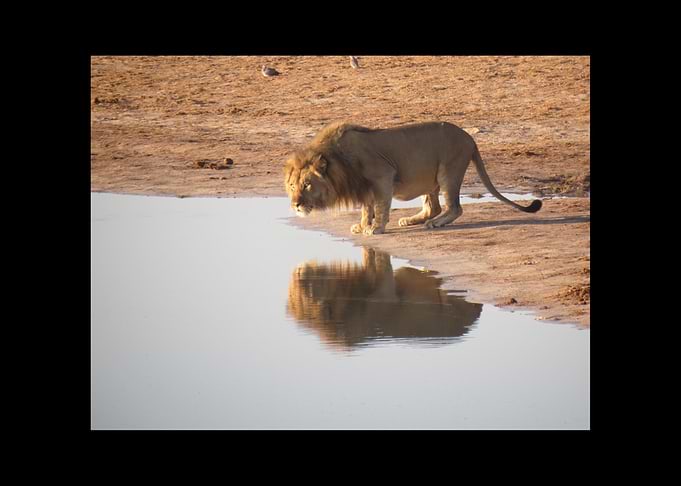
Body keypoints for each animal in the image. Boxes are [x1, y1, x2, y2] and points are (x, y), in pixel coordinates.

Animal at [284, 121, 542, 235]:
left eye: (307, 185)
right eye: (292, 186)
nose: (295, 205)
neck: (339, 161)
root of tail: (470, 138)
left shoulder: (383, 175)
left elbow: (381, 206)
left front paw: (375, 228)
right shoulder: (365, 186)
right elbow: (367, 208)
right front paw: (363, 225)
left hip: (449, 171)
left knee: (454, 208)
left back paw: (434, 224)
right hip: (430, 179)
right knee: (433, 207)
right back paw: (410, 220)